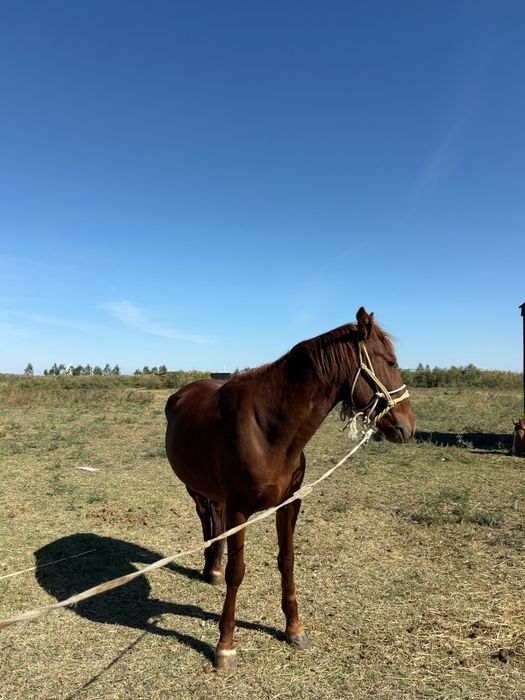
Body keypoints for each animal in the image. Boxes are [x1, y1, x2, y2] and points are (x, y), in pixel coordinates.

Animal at [165, 307, 416, 671]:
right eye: (392, 361)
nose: (408, 427)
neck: (266, 429)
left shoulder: (288, 504)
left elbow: (287, 561)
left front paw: (293, 628)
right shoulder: (240, 510)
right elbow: (237, 572)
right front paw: (225, 646)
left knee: (215, 518)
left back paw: (212, 567)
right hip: (194, 488)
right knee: (205, 517)